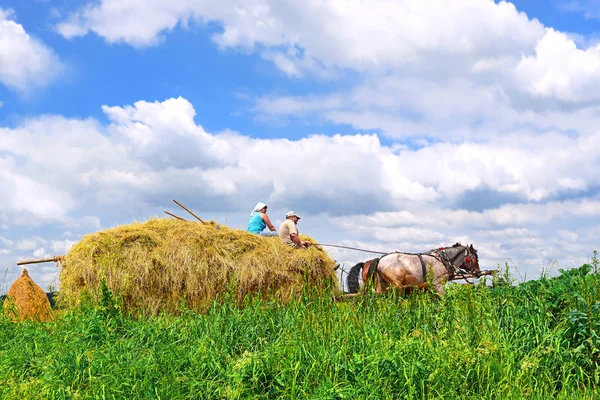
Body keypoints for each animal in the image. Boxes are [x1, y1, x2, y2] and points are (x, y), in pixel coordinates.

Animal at [346, 242, 478, 296]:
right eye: (475, 257)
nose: (477, 272)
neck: (442, 260)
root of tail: (380, 260)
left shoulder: (427, 287)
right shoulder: (437, 284)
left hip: (381, 285)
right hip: (396, 285)